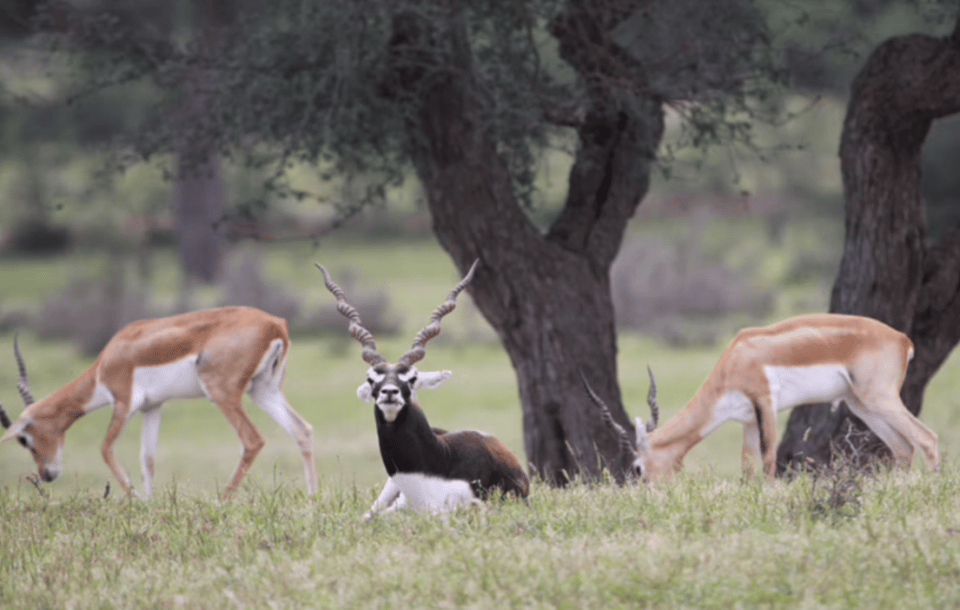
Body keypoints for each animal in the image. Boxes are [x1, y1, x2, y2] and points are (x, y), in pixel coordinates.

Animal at [0, 306, 317, 498]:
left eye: (24, 439)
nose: (47, 474)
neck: (107, 361)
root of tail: (275, 324)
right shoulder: (152, 407)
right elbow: (148, 458)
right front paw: (149, 502)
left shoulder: (123, 403)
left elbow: (105, 448)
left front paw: (135, 500)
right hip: (264, 390)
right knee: (302, 429)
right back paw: (313, 498)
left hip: (223, 392)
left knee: (252, 440)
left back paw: (223, 500)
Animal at [582, 313, 940, 482]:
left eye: (638, 468)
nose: (645, 492)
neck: (736, 358)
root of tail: (902, 339)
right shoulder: (747, 420)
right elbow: (747, 467)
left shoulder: (766, 403)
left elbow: (768, 461)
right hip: (862, 405)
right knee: (903, 447)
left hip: (879, 398)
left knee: (927, 437)